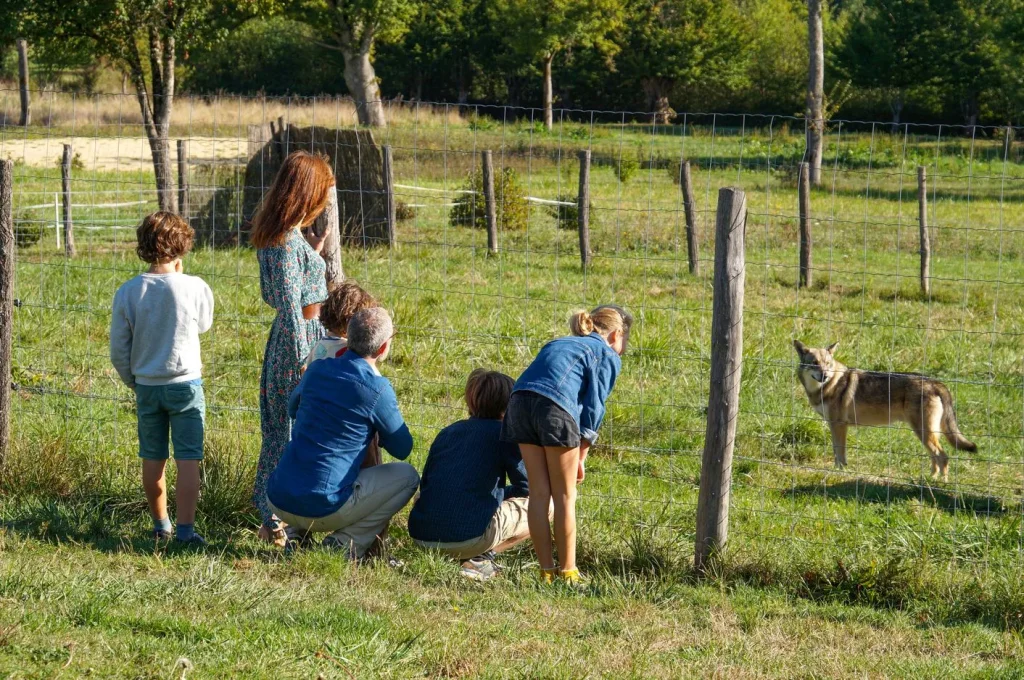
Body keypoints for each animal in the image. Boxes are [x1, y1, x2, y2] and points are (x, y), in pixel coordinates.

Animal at [790, 337, 974, 477]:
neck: (828, 386)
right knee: (935, 457)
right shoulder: (834, 425)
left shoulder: (839, 425)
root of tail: (935, 382)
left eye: (827, 363)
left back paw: (940, 483)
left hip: (923, 432)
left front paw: (839, 472)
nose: (825, 375)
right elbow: (837, 452)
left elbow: (839, 453)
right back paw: (929, 480)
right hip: (926, 434)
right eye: (814, 363)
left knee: (943, 457)